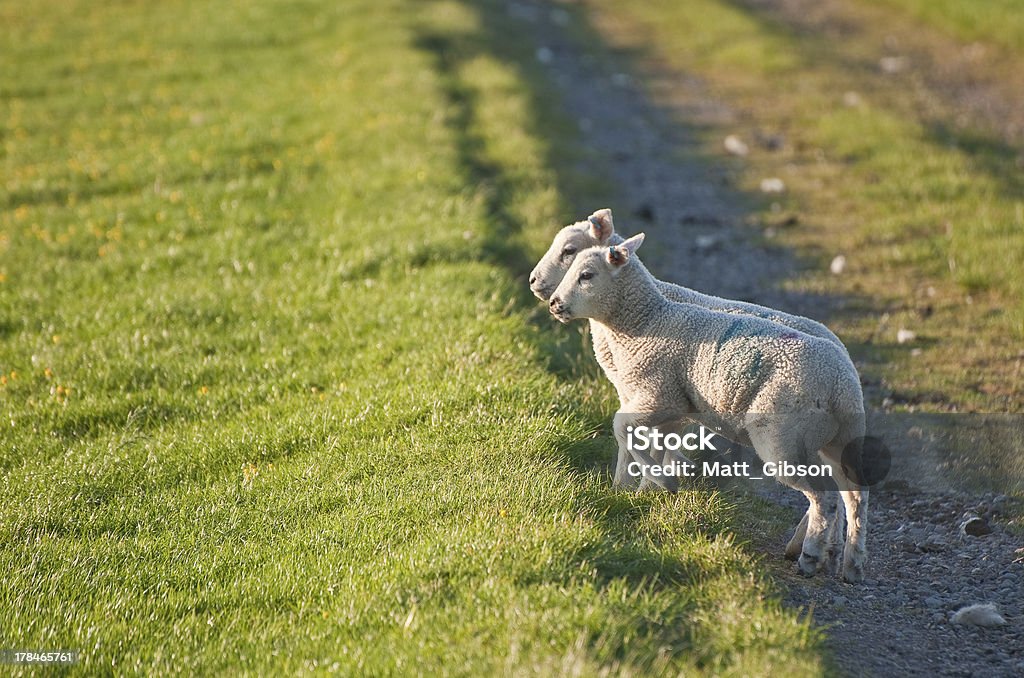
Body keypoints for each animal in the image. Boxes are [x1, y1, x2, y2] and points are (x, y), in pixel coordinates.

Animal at [548, 235, 868, 585]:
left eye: (586, 275)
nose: (553, 303)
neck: (645, 322)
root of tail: (840, 384)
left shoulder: (658, 394)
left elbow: (622, 428)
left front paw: (659, 482)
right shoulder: (670, 407)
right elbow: (648, 441)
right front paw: (639, 489)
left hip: (783, 436)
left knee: (825, 498)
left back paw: (810, 557)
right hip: (840, 439)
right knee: (854, 496)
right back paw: (851, 563)